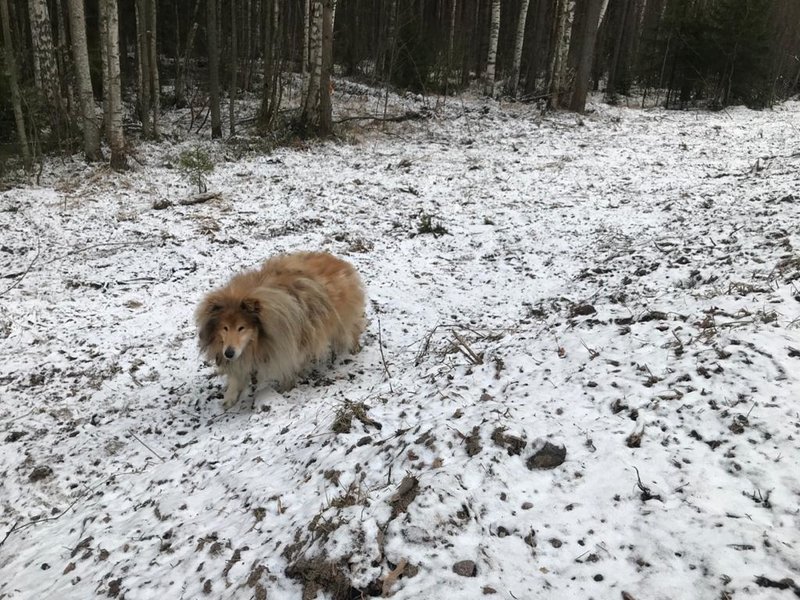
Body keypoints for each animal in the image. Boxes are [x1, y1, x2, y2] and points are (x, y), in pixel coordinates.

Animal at [197, 253, 366, 408]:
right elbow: (237, 374)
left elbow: (288, 366)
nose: (228, 353)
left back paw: (354, 349)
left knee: (352, 331)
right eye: (224, 328)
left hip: (343, 321)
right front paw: (230, 397)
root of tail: (338, 260)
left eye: (241, 328)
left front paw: (286, 389)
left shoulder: (288, 345)